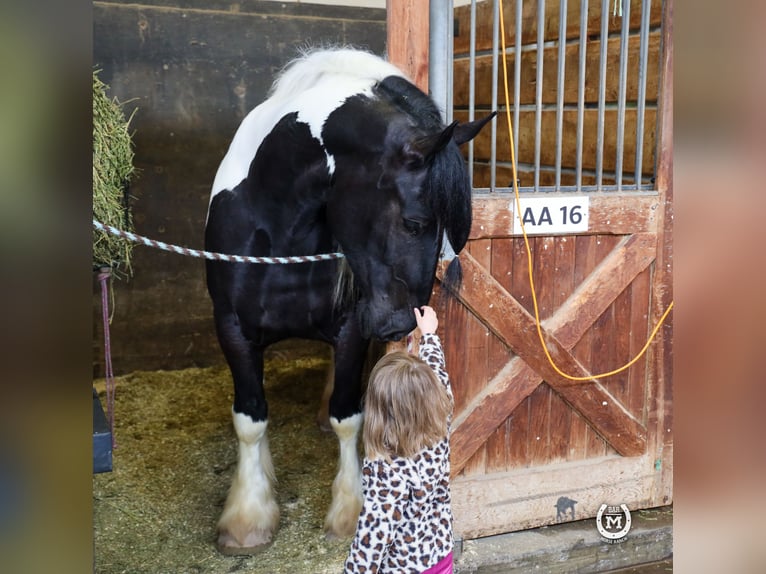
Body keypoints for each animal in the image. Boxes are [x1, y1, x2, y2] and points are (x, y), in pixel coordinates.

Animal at [206, 48, 492, 552]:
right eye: (415, 223)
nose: (402, 324)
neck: (281, 225)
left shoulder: (352, 328)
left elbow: (349, 416)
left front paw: (350, 510)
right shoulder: (232, 328)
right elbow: (250, 419)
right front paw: (246, 519)